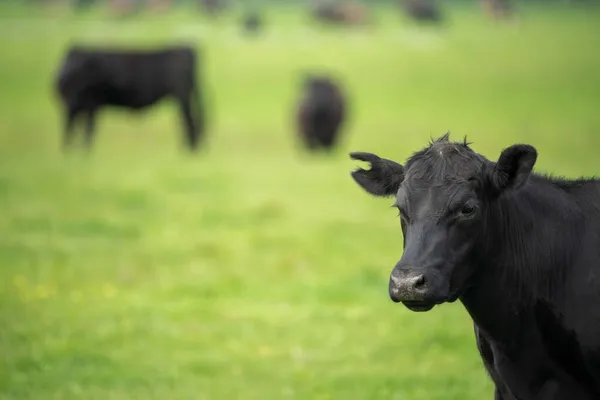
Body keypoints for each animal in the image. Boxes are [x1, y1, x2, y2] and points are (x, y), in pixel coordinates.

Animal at [56, 44, 206, 152]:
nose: (63, 75)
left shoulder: (89, 105)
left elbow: (85, 130)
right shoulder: (85, 106)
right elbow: (82, 129)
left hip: (183, 97)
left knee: (189, 122)